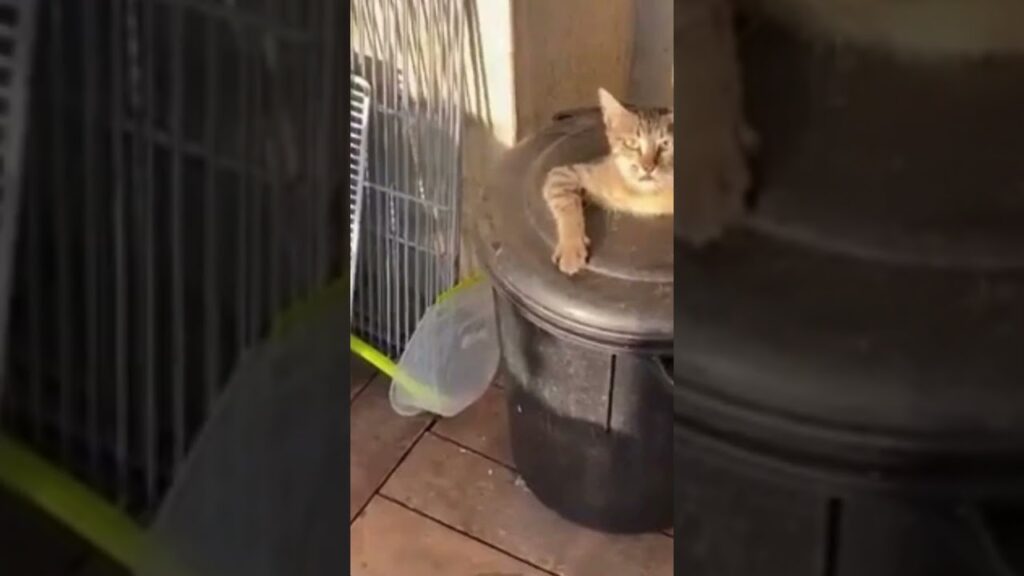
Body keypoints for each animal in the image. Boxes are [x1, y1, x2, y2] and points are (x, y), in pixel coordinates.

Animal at [544, 89, 671, 276]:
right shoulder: (563, 174)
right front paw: (571, 247)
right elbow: (568, 205)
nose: (648, 167)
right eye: (631, 143)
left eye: (666, 144)